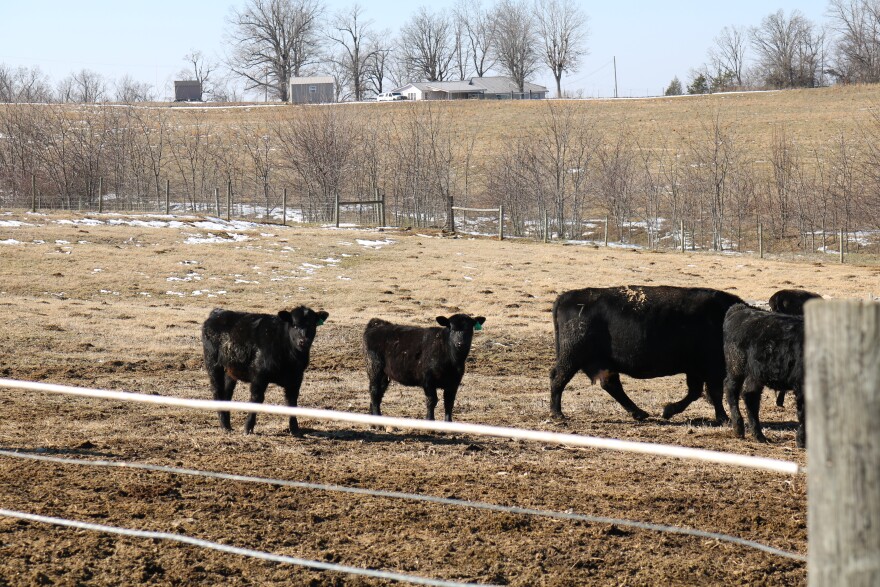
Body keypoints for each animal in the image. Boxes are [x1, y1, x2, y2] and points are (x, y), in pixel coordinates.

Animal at [201, 305, 329, 435]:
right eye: (294, 325)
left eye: (312, 325)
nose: (303, 341)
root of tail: (218, 312)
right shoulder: (259, 376)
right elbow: (256, 399)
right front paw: (248, 428)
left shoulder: (296, 378)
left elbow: (292, 402)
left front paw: (294, 429)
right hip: (213, 365)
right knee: (217, 391)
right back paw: (224, 426)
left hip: (230, 371)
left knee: (227, 393)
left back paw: (228, 425)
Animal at [550, 285, 744, 424]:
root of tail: (566, 297)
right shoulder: (711, 370)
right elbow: (713, 393)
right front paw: (723, 418)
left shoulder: (696, 370)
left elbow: (696, 392)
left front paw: (668, 411)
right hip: (571, 358)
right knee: (558, 378)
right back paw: (557, 413)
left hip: (600, 363)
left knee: (611, 385)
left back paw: (639, 413)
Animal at [722, 303, 805, 448]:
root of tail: (740, 309)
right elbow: (803, 414)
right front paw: (801, 441)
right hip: (736, 367)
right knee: (731, 390)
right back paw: (738, 428)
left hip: (755, 375)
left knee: (750, 396)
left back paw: (759, 436)